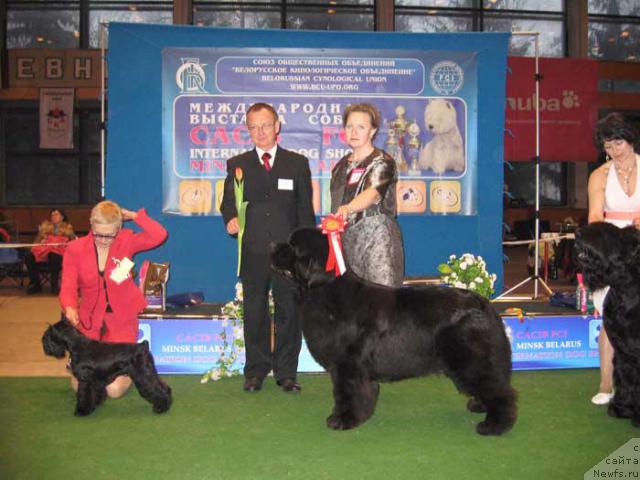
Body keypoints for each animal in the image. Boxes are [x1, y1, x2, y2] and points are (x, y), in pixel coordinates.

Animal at [42, 318, 172, 416]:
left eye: (48, 334)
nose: (44, 344)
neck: (77, 345)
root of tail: (143, 346)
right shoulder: (94, 381)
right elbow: (95, 393)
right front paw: (96, 404)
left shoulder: (85, 380)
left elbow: (84, 395)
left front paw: (82, 411)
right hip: (148, 372)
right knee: (163, 387)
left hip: (143, 375)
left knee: (157, 389)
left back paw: (161, 407)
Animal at [272, 228, 516, 436]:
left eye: (292, 246)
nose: (272, 244)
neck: (325, 293)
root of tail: (485, 304)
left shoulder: (347, 365)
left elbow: (346, 393)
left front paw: (342, 420)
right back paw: (479, 405)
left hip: (470, 359)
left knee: (500, 391)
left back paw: (495, 425)